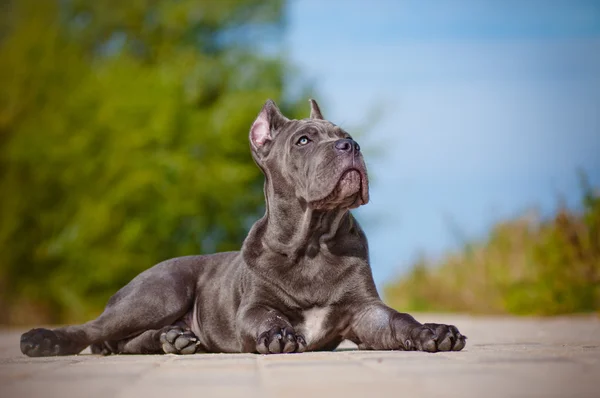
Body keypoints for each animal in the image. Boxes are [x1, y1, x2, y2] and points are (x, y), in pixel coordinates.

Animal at [18, 100, 466, 358]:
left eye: (347, 135)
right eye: (303, 141)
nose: (350, 146)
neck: (313, 243)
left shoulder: (365, 310)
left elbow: (399, 320)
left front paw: (432, 331)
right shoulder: (252, 306)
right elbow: (264, 317)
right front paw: (278, 335)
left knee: (123, 342)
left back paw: (172, 341)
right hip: (160, 291)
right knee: (94, 330)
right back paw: (43, 340)